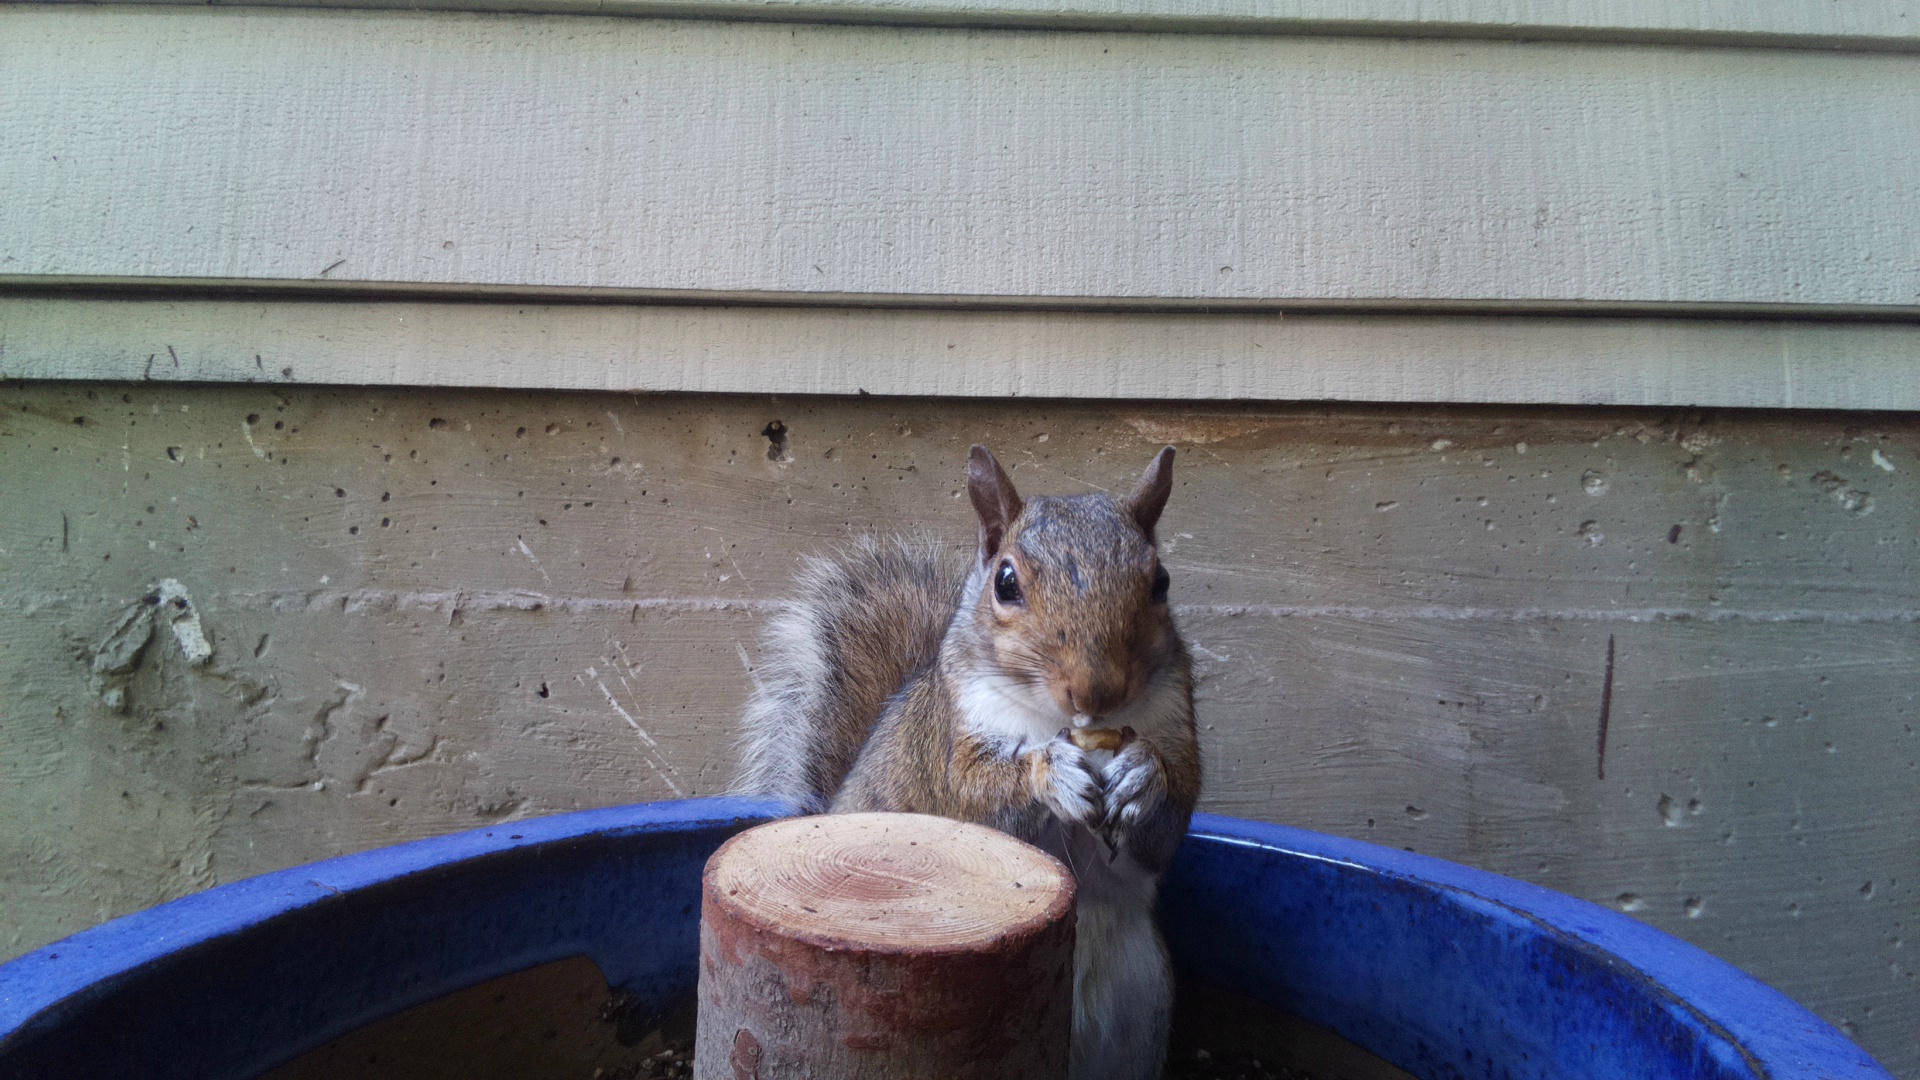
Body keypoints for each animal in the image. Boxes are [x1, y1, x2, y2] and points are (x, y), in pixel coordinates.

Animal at [736, 444, 1202, 1080]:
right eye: (1005, 582)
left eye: (1161, 582)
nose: (1096, 691)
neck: (1057, 723)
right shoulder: (949, 751)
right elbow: (977, 797)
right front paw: (1050, 773)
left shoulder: (1176, 726)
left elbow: (1165, 828)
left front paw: (1143, 775)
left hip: (1140, 1011)